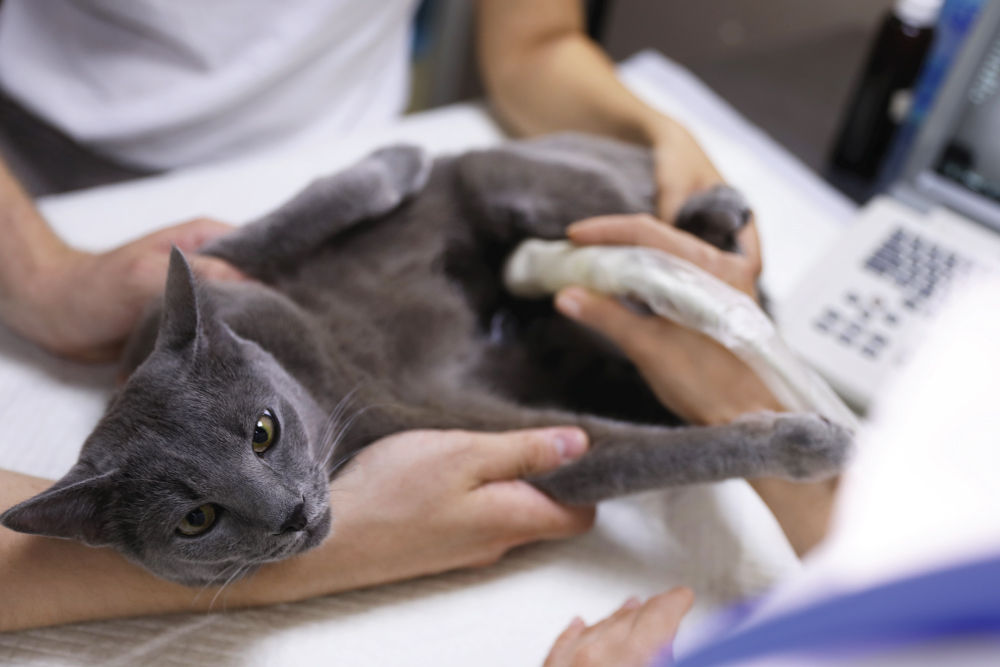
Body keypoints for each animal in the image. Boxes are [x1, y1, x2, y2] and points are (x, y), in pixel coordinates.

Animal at [0, 134, 848, 584]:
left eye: (263, 431)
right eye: (196, 521)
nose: (291, 512)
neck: (328, 384)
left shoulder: (194, 283)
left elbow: (274, 223)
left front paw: (396, 157)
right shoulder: (464, 426)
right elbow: (644, 454)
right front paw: (805, 442)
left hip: (524, 180)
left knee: (626, 206)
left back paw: (711, 216)